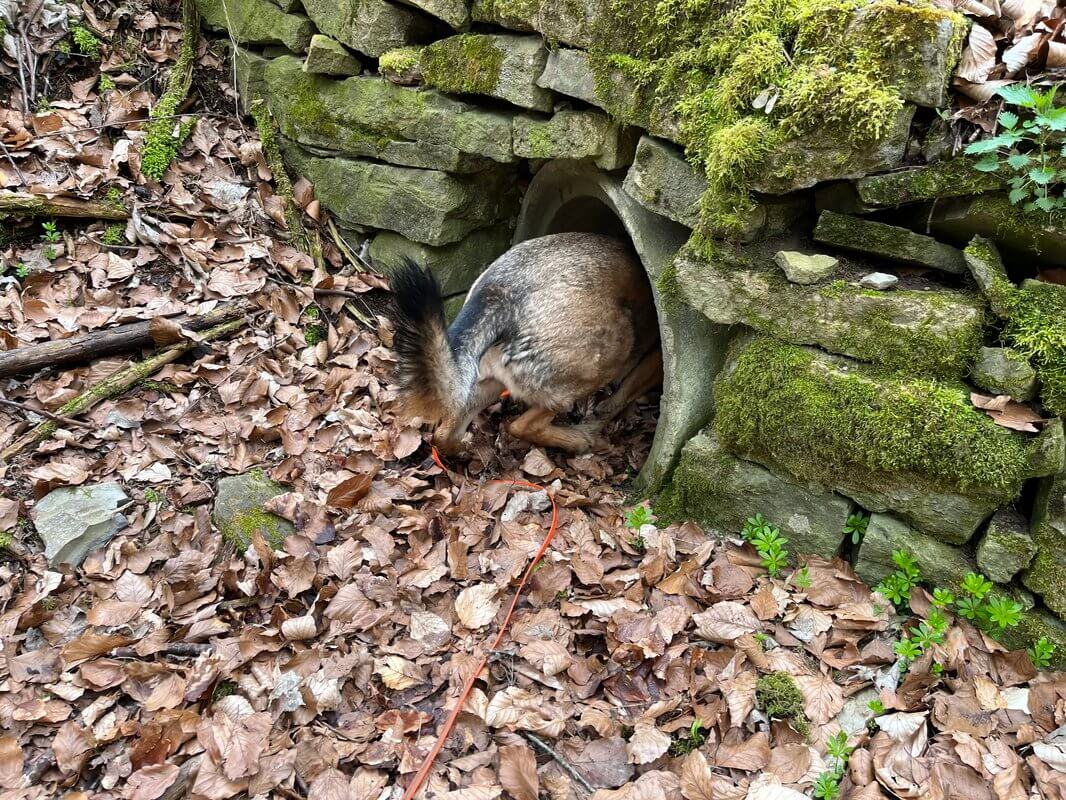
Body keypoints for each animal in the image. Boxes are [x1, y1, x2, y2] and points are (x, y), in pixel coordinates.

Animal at [389, 232, 662, 455]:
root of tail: (500, 296)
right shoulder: (654, 363)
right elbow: (619, 399)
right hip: (612, 351)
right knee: (522, 426)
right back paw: (577, 440)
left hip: (489, 380)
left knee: (445, 433)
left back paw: (463, 448)